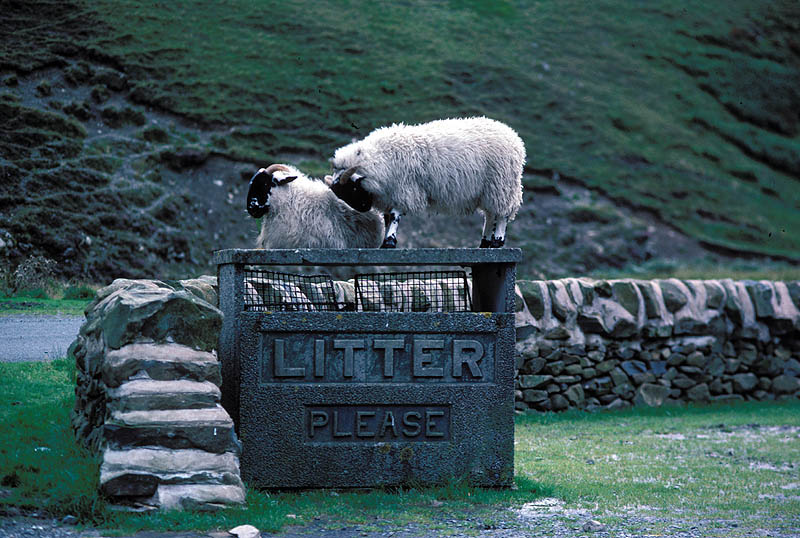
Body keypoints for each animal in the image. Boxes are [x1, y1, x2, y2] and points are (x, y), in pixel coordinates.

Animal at [326, 117, 524, 247]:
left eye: (352, 188)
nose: (363, 208)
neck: (379, 159)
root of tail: (513, 136)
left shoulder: (405, 190)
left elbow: (395, 216)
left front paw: (389, 241)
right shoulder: (390, 194)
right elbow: (388, 218)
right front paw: (386, 241)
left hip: (502, 185)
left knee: (502, 214)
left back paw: (497, 241)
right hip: (489, 191)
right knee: (490, 215)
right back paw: (485, 243)